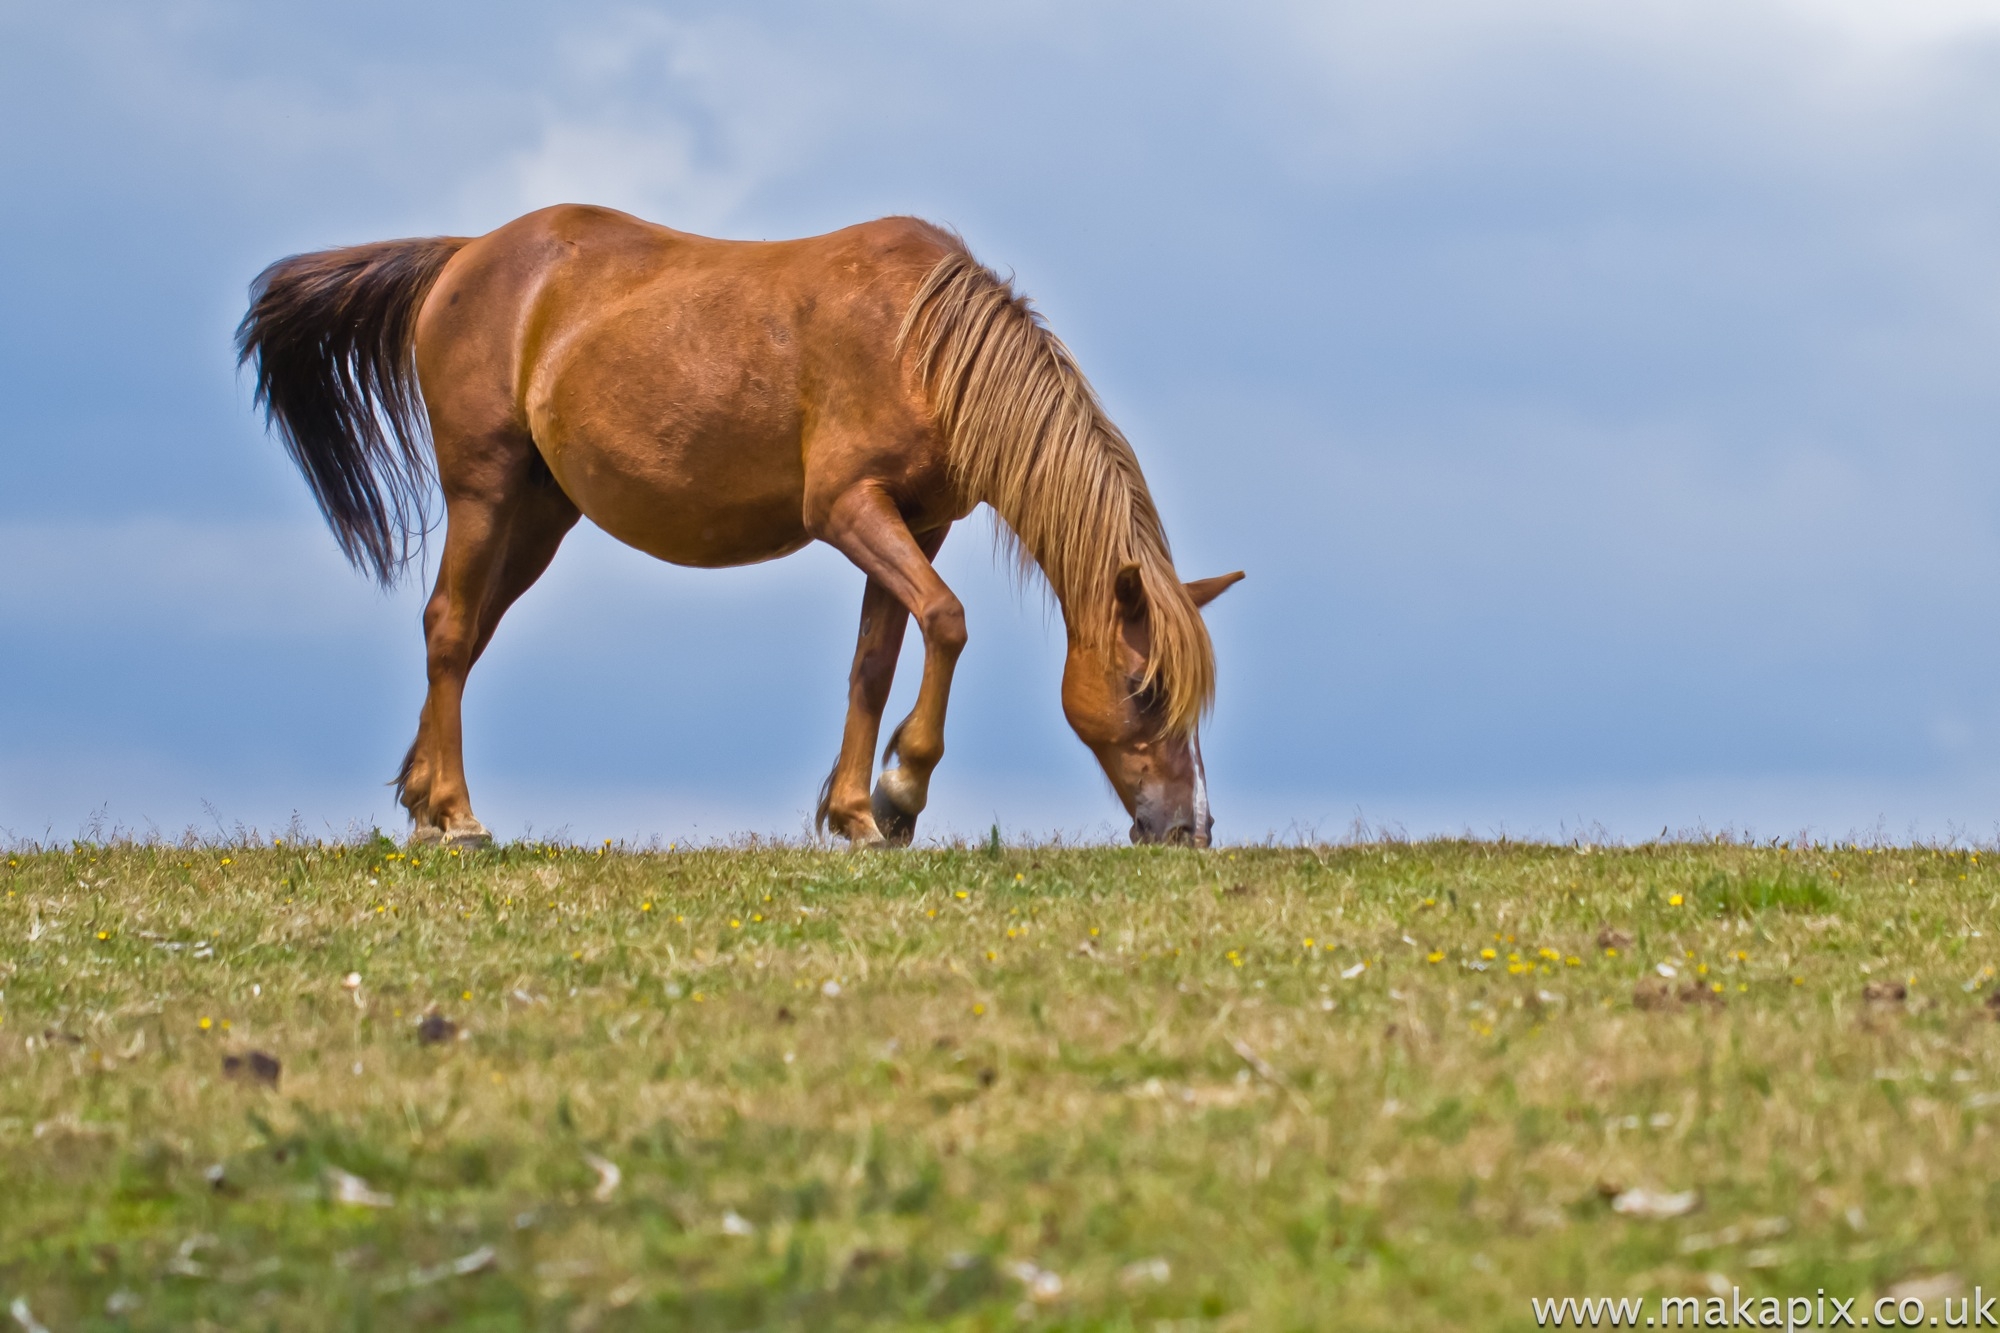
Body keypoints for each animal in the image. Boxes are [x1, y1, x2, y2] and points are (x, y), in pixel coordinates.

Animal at [234, 208, 1232, 852]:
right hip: (483, 490)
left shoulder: (917, 525)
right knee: (446, 627)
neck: (925, 345)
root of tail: (466, 255)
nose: (1190, 828)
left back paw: (422, 798)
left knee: (468, 632)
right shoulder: (850, 510)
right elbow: (946, 621)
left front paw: (855, 813)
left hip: (540, 513)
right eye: (1145, 689)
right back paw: (459, 813)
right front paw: (900, 791)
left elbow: (875, 661)